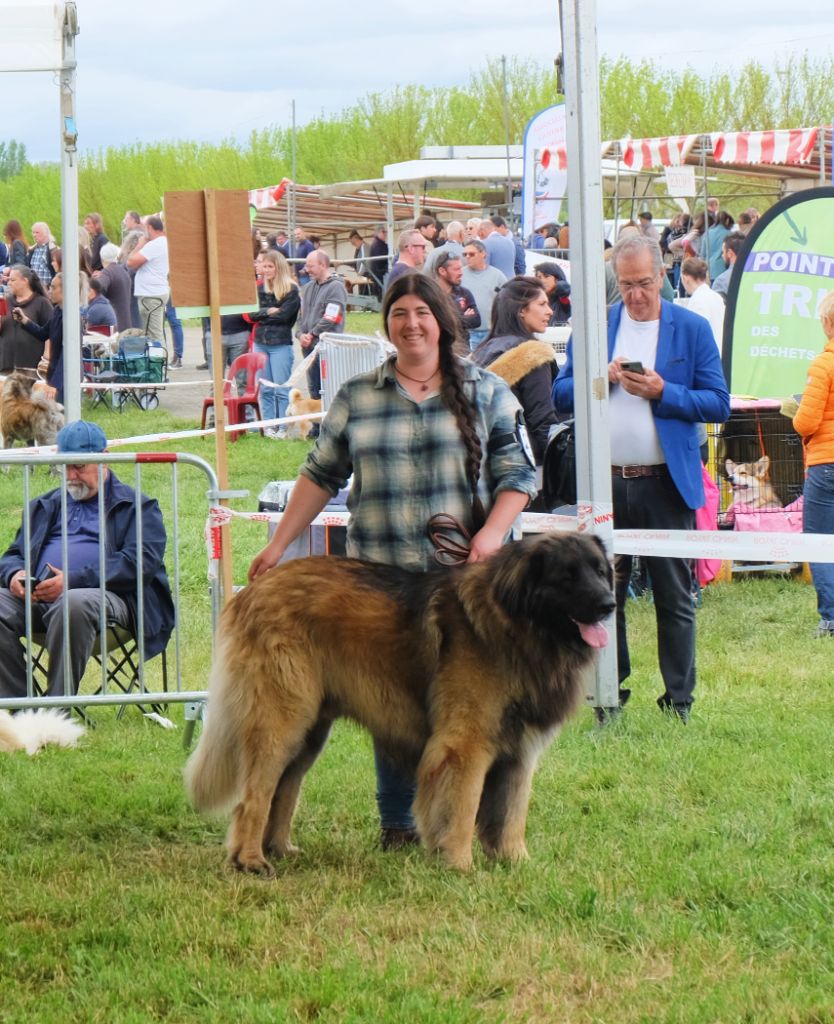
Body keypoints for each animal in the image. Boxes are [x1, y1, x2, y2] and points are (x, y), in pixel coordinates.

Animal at [186, 532, 618, 876]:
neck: (516, 625)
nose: (610, 604)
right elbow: (462, 809)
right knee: (254, 795)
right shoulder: (465, 747)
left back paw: (279, 848)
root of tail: (253, 589)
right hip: (282, 719)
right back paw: (250, 860)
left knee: (284, 787)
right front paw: (460, 865)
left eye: (600, 571)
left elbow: (511, 813)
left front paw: (516, 863)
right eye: (567, 576)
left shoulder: (519, 750)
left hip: (310, 731)